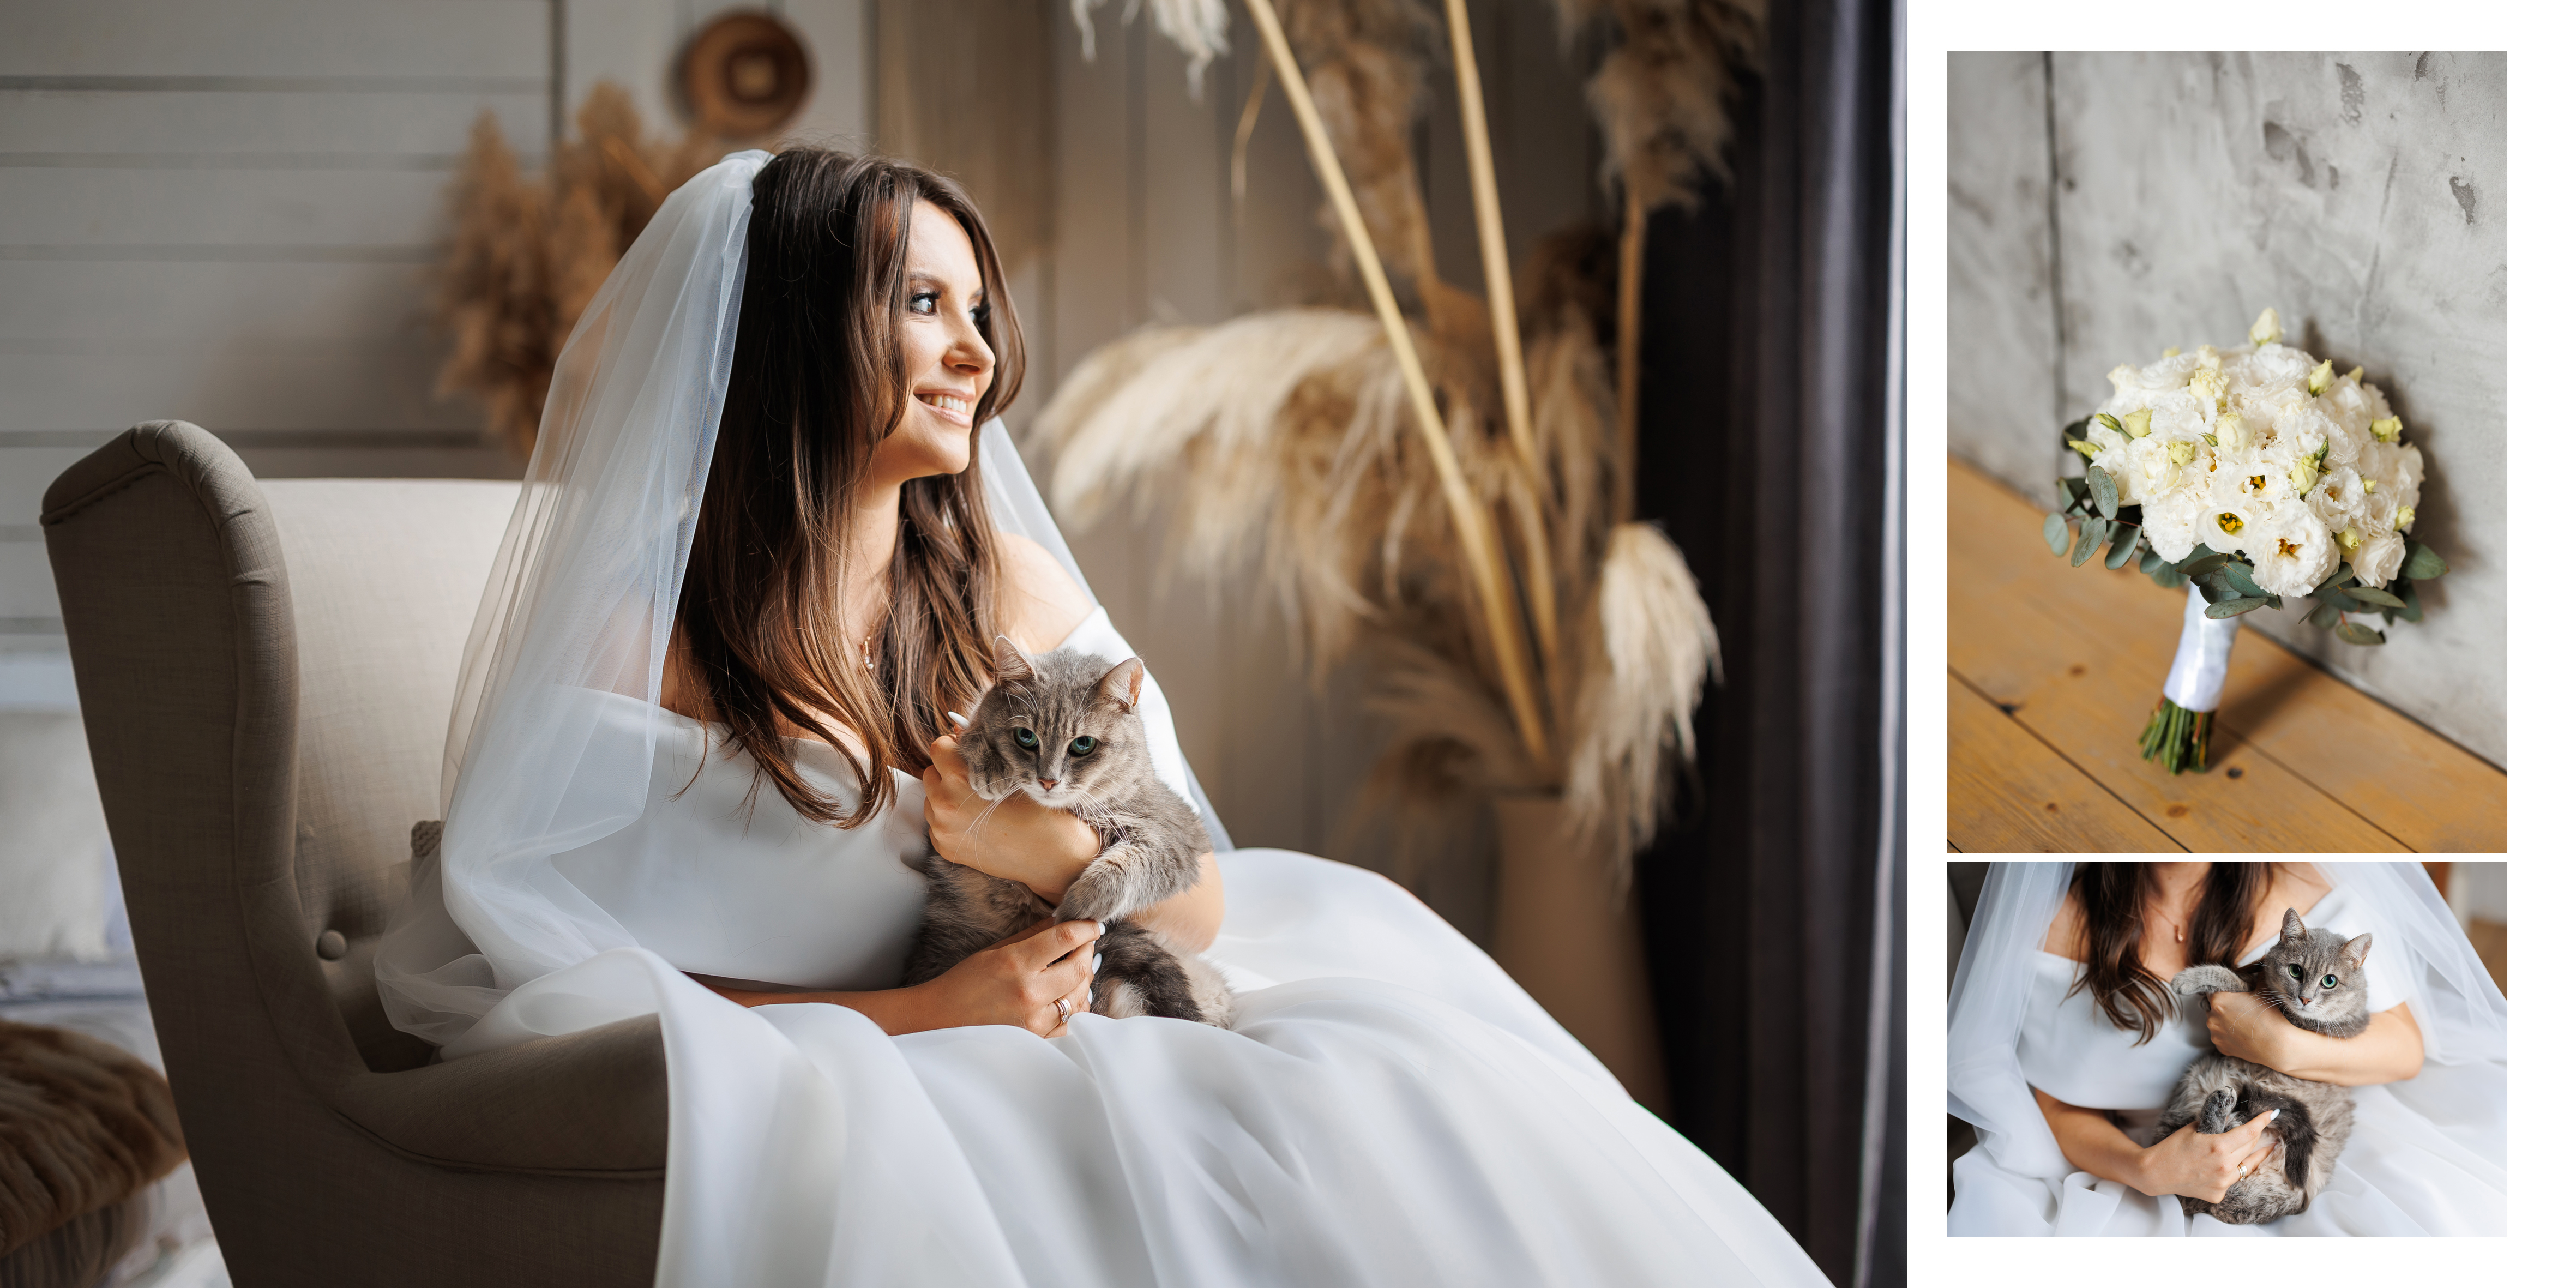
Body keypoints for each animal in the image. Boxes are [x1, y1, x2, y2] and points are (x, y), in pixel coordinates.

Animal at [901, 636, 1235, 1027]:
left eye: (1083, 745)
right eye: (1025, 736)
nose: (1048, 781)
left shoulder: (1179, 836)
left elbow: (1131, 863)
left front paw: (1085, 899)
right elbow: (969, 730)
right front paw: (991, 766)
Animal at [2152, 906, 2370, 1225]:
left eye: (2329, 981)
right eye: (2296, 971)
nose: (2305, 998)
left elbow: (2237, 982)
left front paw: (2191, 979)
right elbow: (2246, 974)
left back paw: (2222, 1109)